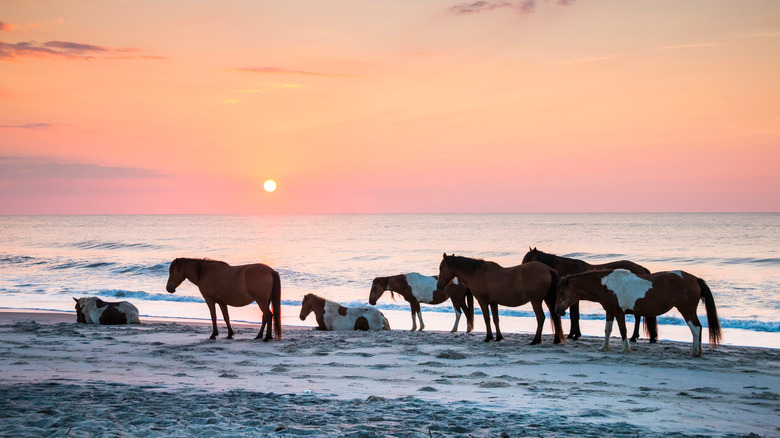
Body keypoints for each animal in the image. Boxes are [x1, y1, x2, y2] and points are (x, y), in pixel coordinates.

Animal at [436, 253, 564, 346]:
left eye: (441, 268)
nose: (439, 286)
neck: (476, 273)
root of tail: (548, 269)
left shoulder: (483, 301)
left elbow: (487, 319)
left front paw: (488, 337)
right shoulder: (493, 303)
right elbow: (495, 319)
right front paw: (498, 337)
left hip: (536, 301)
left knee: (541, 318)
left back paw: (536, 340)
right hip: (548, 299)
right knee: (554, 316)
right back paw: (556, 340)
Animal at [520, 248, 656, 344]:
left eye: (527, 260)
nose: (520, 270)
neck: (568, 269)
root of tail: (641, 268)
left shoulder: (573, 300)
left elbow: (574, 317)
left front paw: (574, 335)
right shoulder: (573, 300)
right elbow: (574, 316)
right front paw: (574, 334)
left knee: (637, 317)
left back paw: (633, 337)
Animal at [556, 266, 724, 356]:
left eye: (562, 292)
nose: (558, 311)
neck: (607, 285)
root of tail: (695, 279)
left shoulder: (619, 312)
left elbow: (623, 330)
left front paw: (626, 349)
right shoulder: (610, 312)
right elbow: (608, 330)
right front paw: (604, 347)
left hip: (686, 310)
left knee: (695, 329)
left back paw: (695, 352)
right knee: (699, 328)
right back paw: (699, 351)